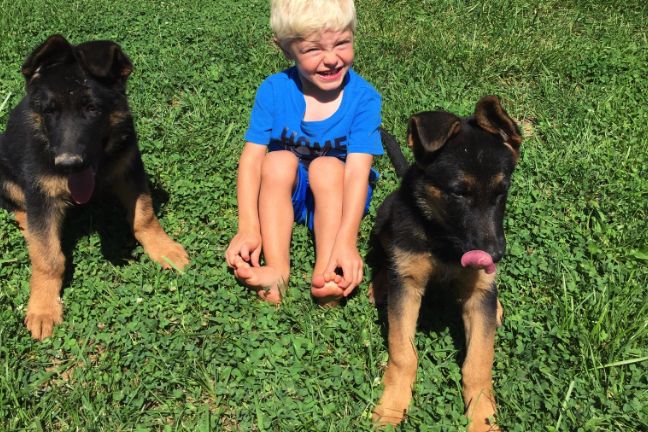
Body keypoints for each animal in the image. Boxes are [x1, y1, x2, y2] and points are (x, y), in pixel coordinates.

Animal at [0, 35, 189, 340]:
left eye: (92, 109)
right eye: (50, 111)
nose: (68, 164)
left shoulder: (130, 167)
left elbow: (145, 215)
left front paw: (163, 249)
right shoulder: (40, 194)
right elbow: (48, 257)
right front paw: (43, 308)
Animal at [370, 96, 522, 431]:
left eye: (501, 191)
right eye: (458, 193)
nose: (494, 255)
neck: (443, 239)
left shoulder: (477, 294)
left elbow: (478, 363)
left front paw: (482, 417)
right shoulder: (408, 287)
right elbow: (403, 353)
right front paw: (392, 405)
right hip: (384, 217)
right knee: (383, 255)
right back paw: (380, 284)